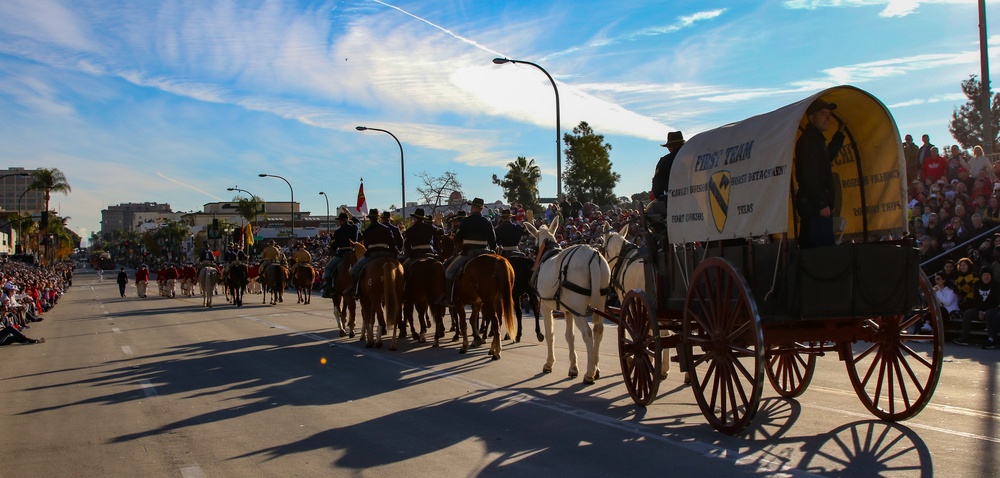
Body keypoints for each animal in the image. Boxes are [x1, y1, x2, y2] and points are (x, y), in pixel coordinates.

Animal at [524, 218, 608, 384]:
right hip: (599, 302)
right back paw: (595, 368)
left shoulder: (545, 307)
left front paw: (549, 363)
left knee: (587, 333)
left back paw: (589, 373)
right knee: (598, 330)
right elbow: (570, 336)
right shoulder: (568, 310)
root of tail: (593, 257)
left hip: (579, 309)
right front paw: (573, 367)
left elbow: (550, 334)